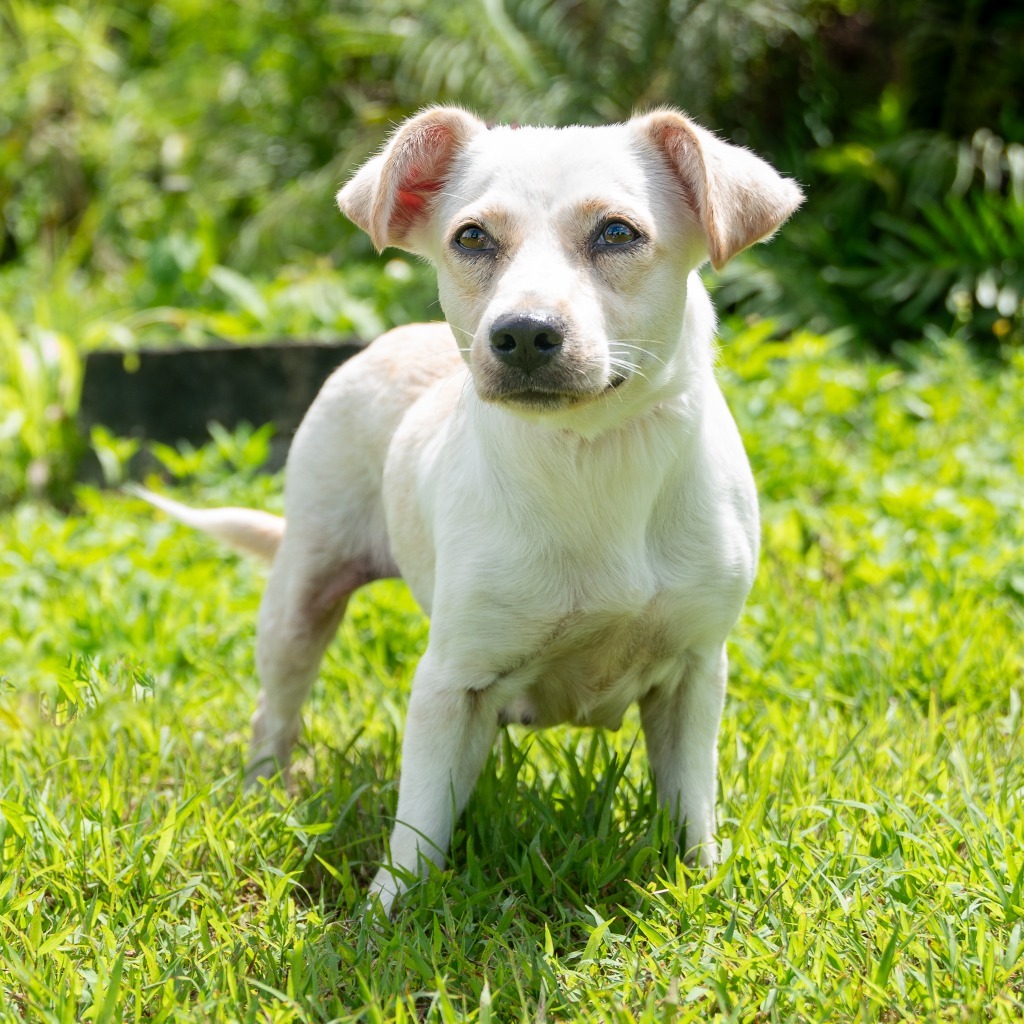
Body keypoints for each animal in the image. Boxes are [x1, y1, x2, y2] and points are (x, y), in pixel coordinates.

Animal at [136, 108, 802, 917]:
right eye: (472, 237)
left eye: (618, 232)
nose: (522, 332)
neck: (588, 457)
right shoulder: (450, 685)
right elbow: (419, 827)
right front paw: (385, 918)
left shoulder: (696, 673)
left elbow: (690, 801)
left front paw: (700, 880)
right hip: (302, 595)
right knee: (277, 712)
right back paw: (267, 791)